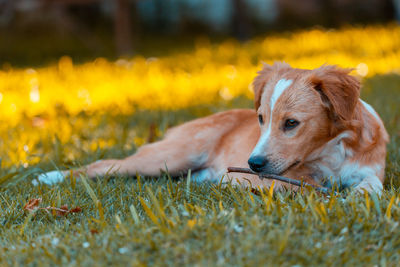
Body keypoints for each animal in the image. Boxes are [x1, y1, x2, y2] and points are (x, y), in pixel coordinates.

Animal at [36, 62, 390, 193]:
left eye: (291, 124)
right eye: (261, 119)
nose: (252, 164)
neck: (329, 152)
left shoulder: (371, 167)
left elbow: (371, 184)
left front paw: (358, 196)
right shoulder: (280, 178)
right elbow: (303, 187)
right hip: (169, 156)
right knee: (102, 165)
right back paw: (49, 177)